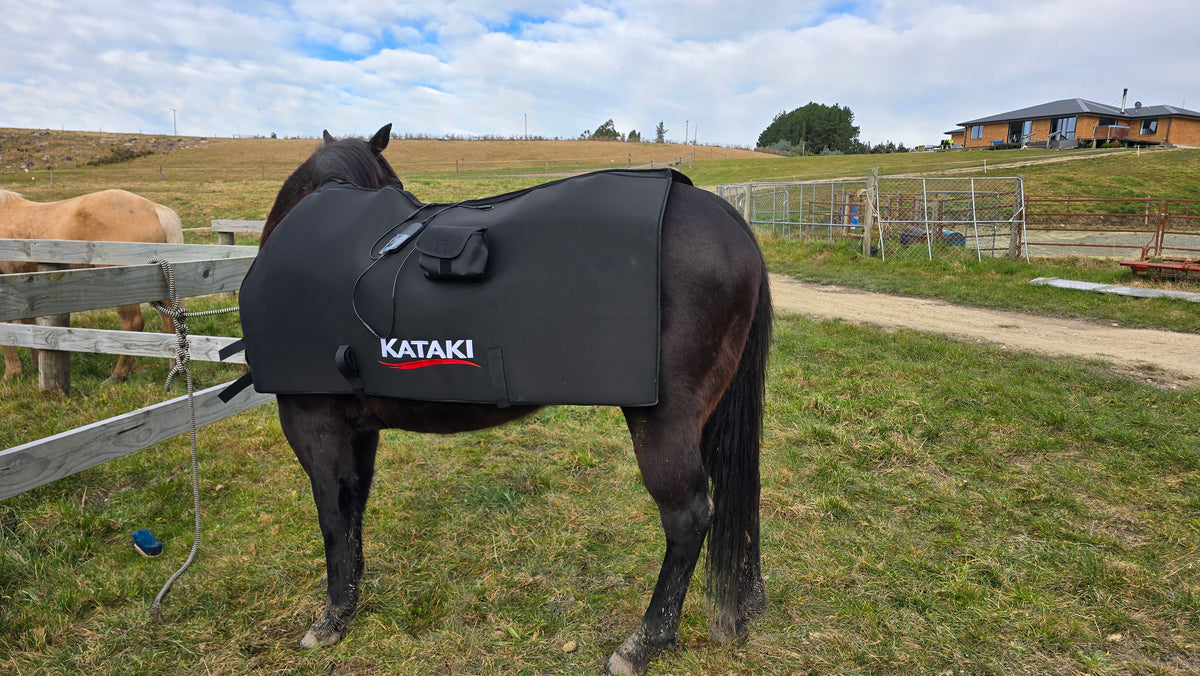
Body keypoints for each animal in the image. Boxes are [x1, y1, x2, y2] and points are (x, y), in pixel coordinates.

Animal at [0, 188, 184, 381]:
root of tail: (154, 208)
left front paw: (11, 372)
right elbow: (27, 323)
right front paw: (35, 366)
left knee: (133, 323)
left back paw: (118, 375)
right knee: (169, 320)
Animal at [258, 125, 772, 675]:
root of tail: (729, 222)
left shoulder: (312, 422)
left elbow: (333, 516)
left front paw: (330, 619)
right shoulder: (359, 431)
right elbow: (353, 509)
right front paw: (349, 601)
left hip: (666, 423)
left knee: (688, 517)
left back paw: (643, 642)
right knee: (740, 490)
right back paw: (746, 604)